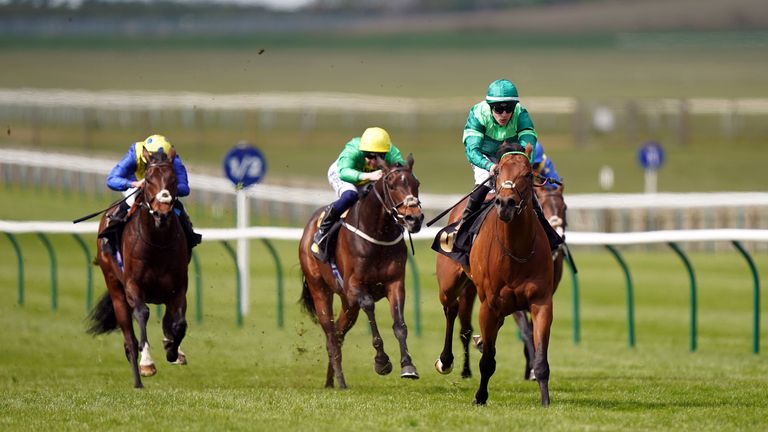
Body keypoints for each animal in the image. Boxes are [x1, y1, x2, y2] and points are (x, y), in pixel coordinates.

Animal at [86, 148, 188, 388]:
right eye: (148, 179)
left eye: (173, 179)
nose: (161, 213)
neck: (157, 243)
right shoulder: (133, 286)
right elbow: (142, 313)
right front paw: (147, 363)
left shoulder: (178, 288)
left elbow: (179, 323)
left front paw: (172, 350)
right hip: (116, 289)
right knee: (129, 340)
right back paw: (138, 381)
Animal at [296, 154, 424, 388]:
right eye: (391, 185)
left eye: (416, 184)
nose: (414, 218)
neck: (377, 234)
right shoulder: (355, 287)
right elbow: (370, 306)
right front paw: (381, 361)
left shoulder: (395, 283)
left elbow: (400, 325)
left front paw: (408, 365)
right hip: (320, 289)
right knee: (331, 337)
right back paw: (340, 382)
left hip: (348, 304)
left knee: (338, 334)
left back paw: (330, 381)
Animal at [436, 143, 556, 406]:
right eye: (498, 171)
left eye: (528, 174)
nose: (506, 203)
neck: (515, 251)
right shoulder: (489, 305)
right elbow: (488, 362)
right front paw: (480, 397)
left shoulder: (541, 302)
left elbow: (541, 358)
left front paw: (545, 399)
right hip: (449, 283)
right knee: (450, 309)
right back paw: (446, 360)